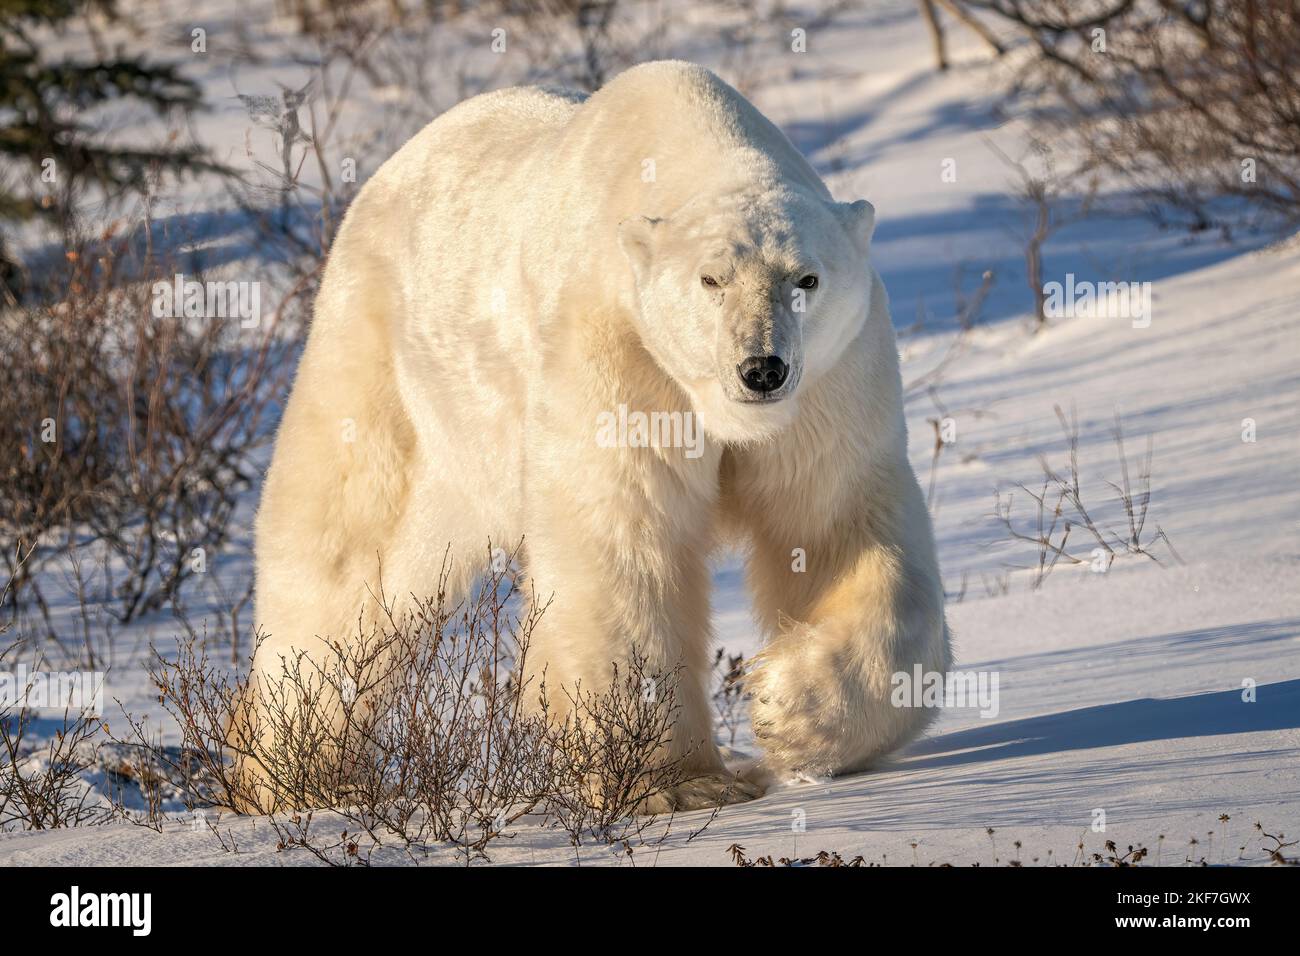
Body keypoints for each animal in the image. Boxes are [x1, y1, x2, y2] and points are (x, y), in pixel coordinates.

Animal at [233, 59, 951, 811]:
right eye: (711, 279)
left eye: (807, 278)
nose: (762, 368)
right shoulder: (615, 344)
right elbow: (621, 537)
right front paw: (675, 783)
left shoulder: (831, 383)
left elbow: (837, 528)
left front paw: (788, 707)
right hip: (387, 363)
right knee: (347, 550)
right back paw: (288, 770)